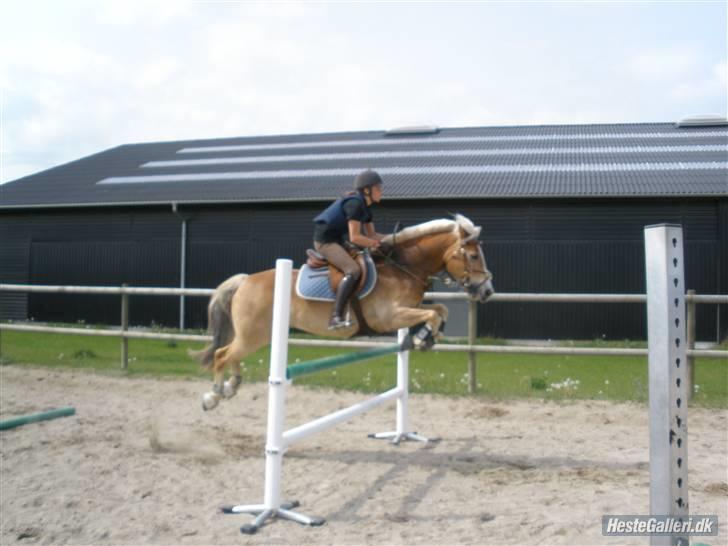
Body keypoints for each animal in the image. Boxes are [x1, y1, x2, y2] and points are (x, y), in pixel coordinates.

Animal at [192, 212, 494, 408]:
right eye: (473, 255)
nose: (487, 291)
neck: (402, 266)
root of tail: (245, 280)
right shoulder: (389, 317)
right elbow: (432, 313)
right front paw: (422, 338)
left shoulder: (408, 308)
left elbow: (440, 309)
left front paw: (426, 337)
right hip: (254, 335)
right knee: (221, 355)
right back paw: (213, 396)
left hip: (257, 335)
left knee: (231, 354)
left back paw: (231, 387)